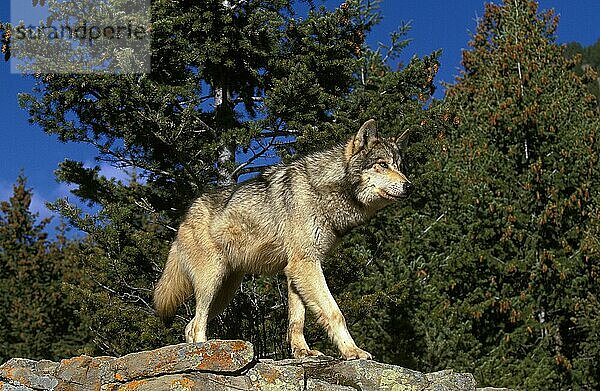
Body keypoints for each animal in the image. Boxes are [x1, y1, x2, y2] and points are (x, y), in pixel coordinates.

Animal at [154, 119, 412, 362]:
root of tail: (184, 217)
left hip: (225, 291)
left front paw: (302, 352)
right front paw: (352, 351)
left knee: (190, 325)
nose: (409, 186)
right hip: (211, 282)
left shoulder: (295, 270)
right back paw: (205, 354)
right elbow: (334, 312)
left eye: (400, 166)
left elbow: (297, 320)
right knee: (197, 324)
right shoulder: (306, 264)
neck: (325, 189)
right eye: (383, 164)